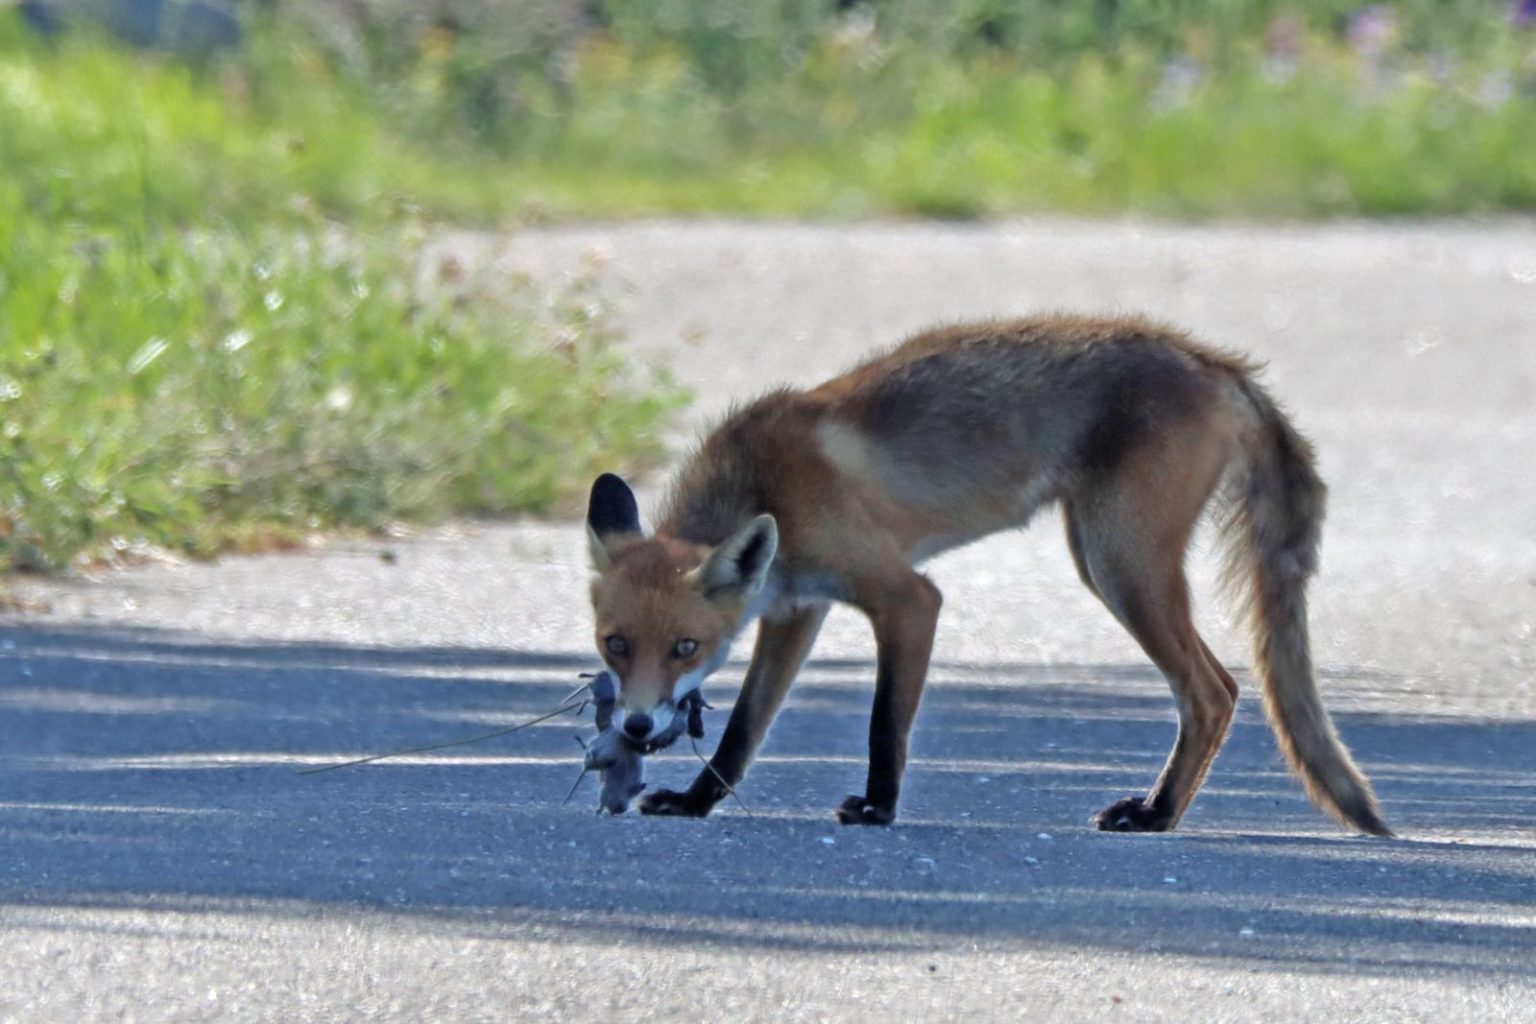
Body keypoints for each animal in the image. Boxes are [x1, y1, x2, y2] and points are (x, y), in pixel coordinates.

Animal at [583, 316, 1394, 835]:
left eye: (684, 648)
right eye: (614, 645)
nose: (636, 725)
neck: (765, 483)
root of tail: (1218, 363)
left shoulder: (907, 598)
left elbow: (885, 723)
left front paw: (878, 810)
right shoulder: (794, 610)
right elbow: (744, 732)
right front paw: (695, 803)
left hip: (1118, 564)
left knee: (1215, 692)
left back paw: (1157, 815)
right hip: (1108, 558)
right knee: (1217, 690)